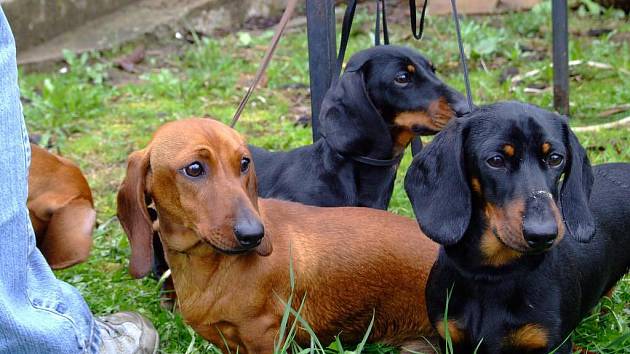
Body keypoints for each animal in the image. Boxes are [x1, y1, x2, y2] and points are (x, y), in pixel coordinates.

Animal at [408, 101, 628, 352]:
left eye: (555, 158)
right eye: (496, 160)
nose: (543, 235)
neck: (492, 274)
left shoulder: (554, 343)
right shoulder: (450, 339)